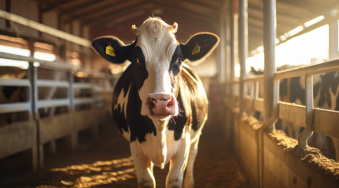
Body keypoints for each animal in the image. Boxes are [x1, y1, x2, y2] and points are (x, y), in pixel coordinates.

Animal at [91, 17, 219, 188]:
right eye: (136, 60)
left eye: (179, 59)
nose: (160, 102)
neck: (160, 127)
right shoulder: (136, 145)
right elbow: (147, 179)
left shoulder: (183, 142)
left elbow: (174, 178)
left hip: (196, 135)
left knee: (193, 153)